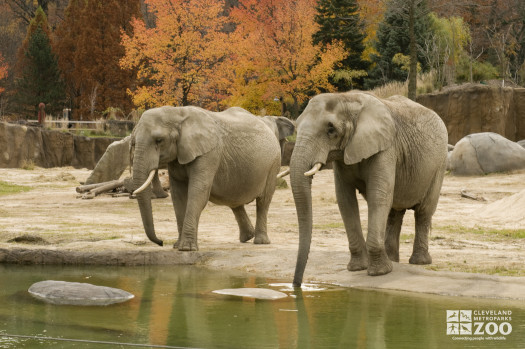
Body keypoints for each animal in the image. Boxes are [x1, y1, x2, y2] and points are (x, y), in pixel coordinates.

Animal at [129, 104, 292, 249]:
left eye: (159, 140)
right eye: (133, 142)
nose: (161, 242)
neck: (177, 112)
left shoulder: (209, 153)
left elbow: (197, 193)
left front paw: (186, 248)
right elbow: (178, 196)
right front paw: (177, 246)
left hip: (273, 163)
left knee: (263, 201)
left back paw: (260, 242)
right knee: (235, 201)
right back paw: (247, 237)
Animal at [290, 92, 446, 286]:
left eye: (331, 129)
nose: (296, 284)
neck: (347, 98)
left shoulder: (386, 148)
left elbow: (378, 196)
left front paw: (379, 272)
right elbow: (345, 200)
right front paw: (357, 268)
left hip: (439, 165)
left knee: (423, 212)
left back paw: (419, 262)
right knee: (394, 213)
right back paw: (393, 259)